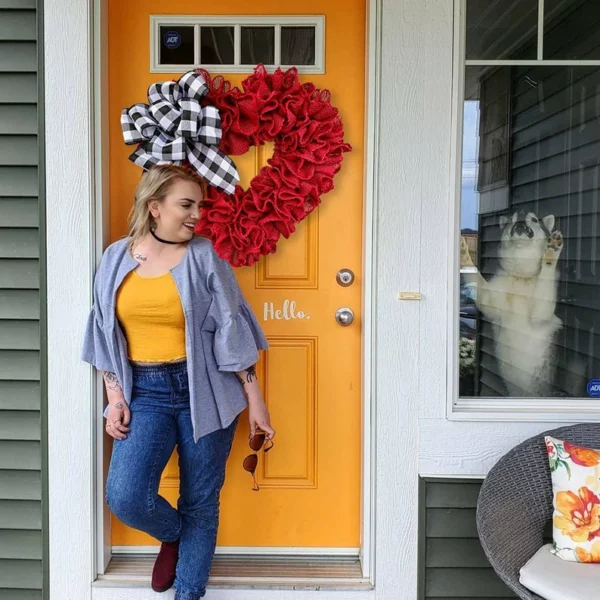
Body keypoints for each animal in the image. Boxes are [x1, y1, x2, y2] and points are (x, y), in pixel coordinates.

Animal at [460, 212, 568, 398]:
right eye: (512, 219)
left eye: (534, 219)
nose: (521, 215)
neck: (521, 277)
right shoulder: (490, 299)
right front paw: (463, 253)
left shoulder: (541, 314)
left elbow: (546, 276)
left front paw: (551, 252)